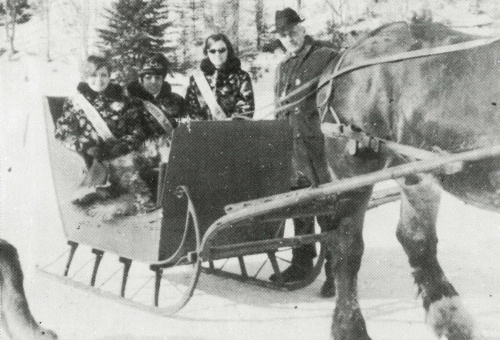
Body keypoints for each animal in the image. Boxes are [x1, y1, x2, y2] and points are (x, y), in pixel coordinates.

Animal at [316, 21, 500, 340]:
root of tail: (349, 51)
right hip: (354, 169)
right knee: (346, 246)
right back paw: (350, 328)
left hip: (416, 170)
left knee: (416, 240)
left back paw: (454, 321)